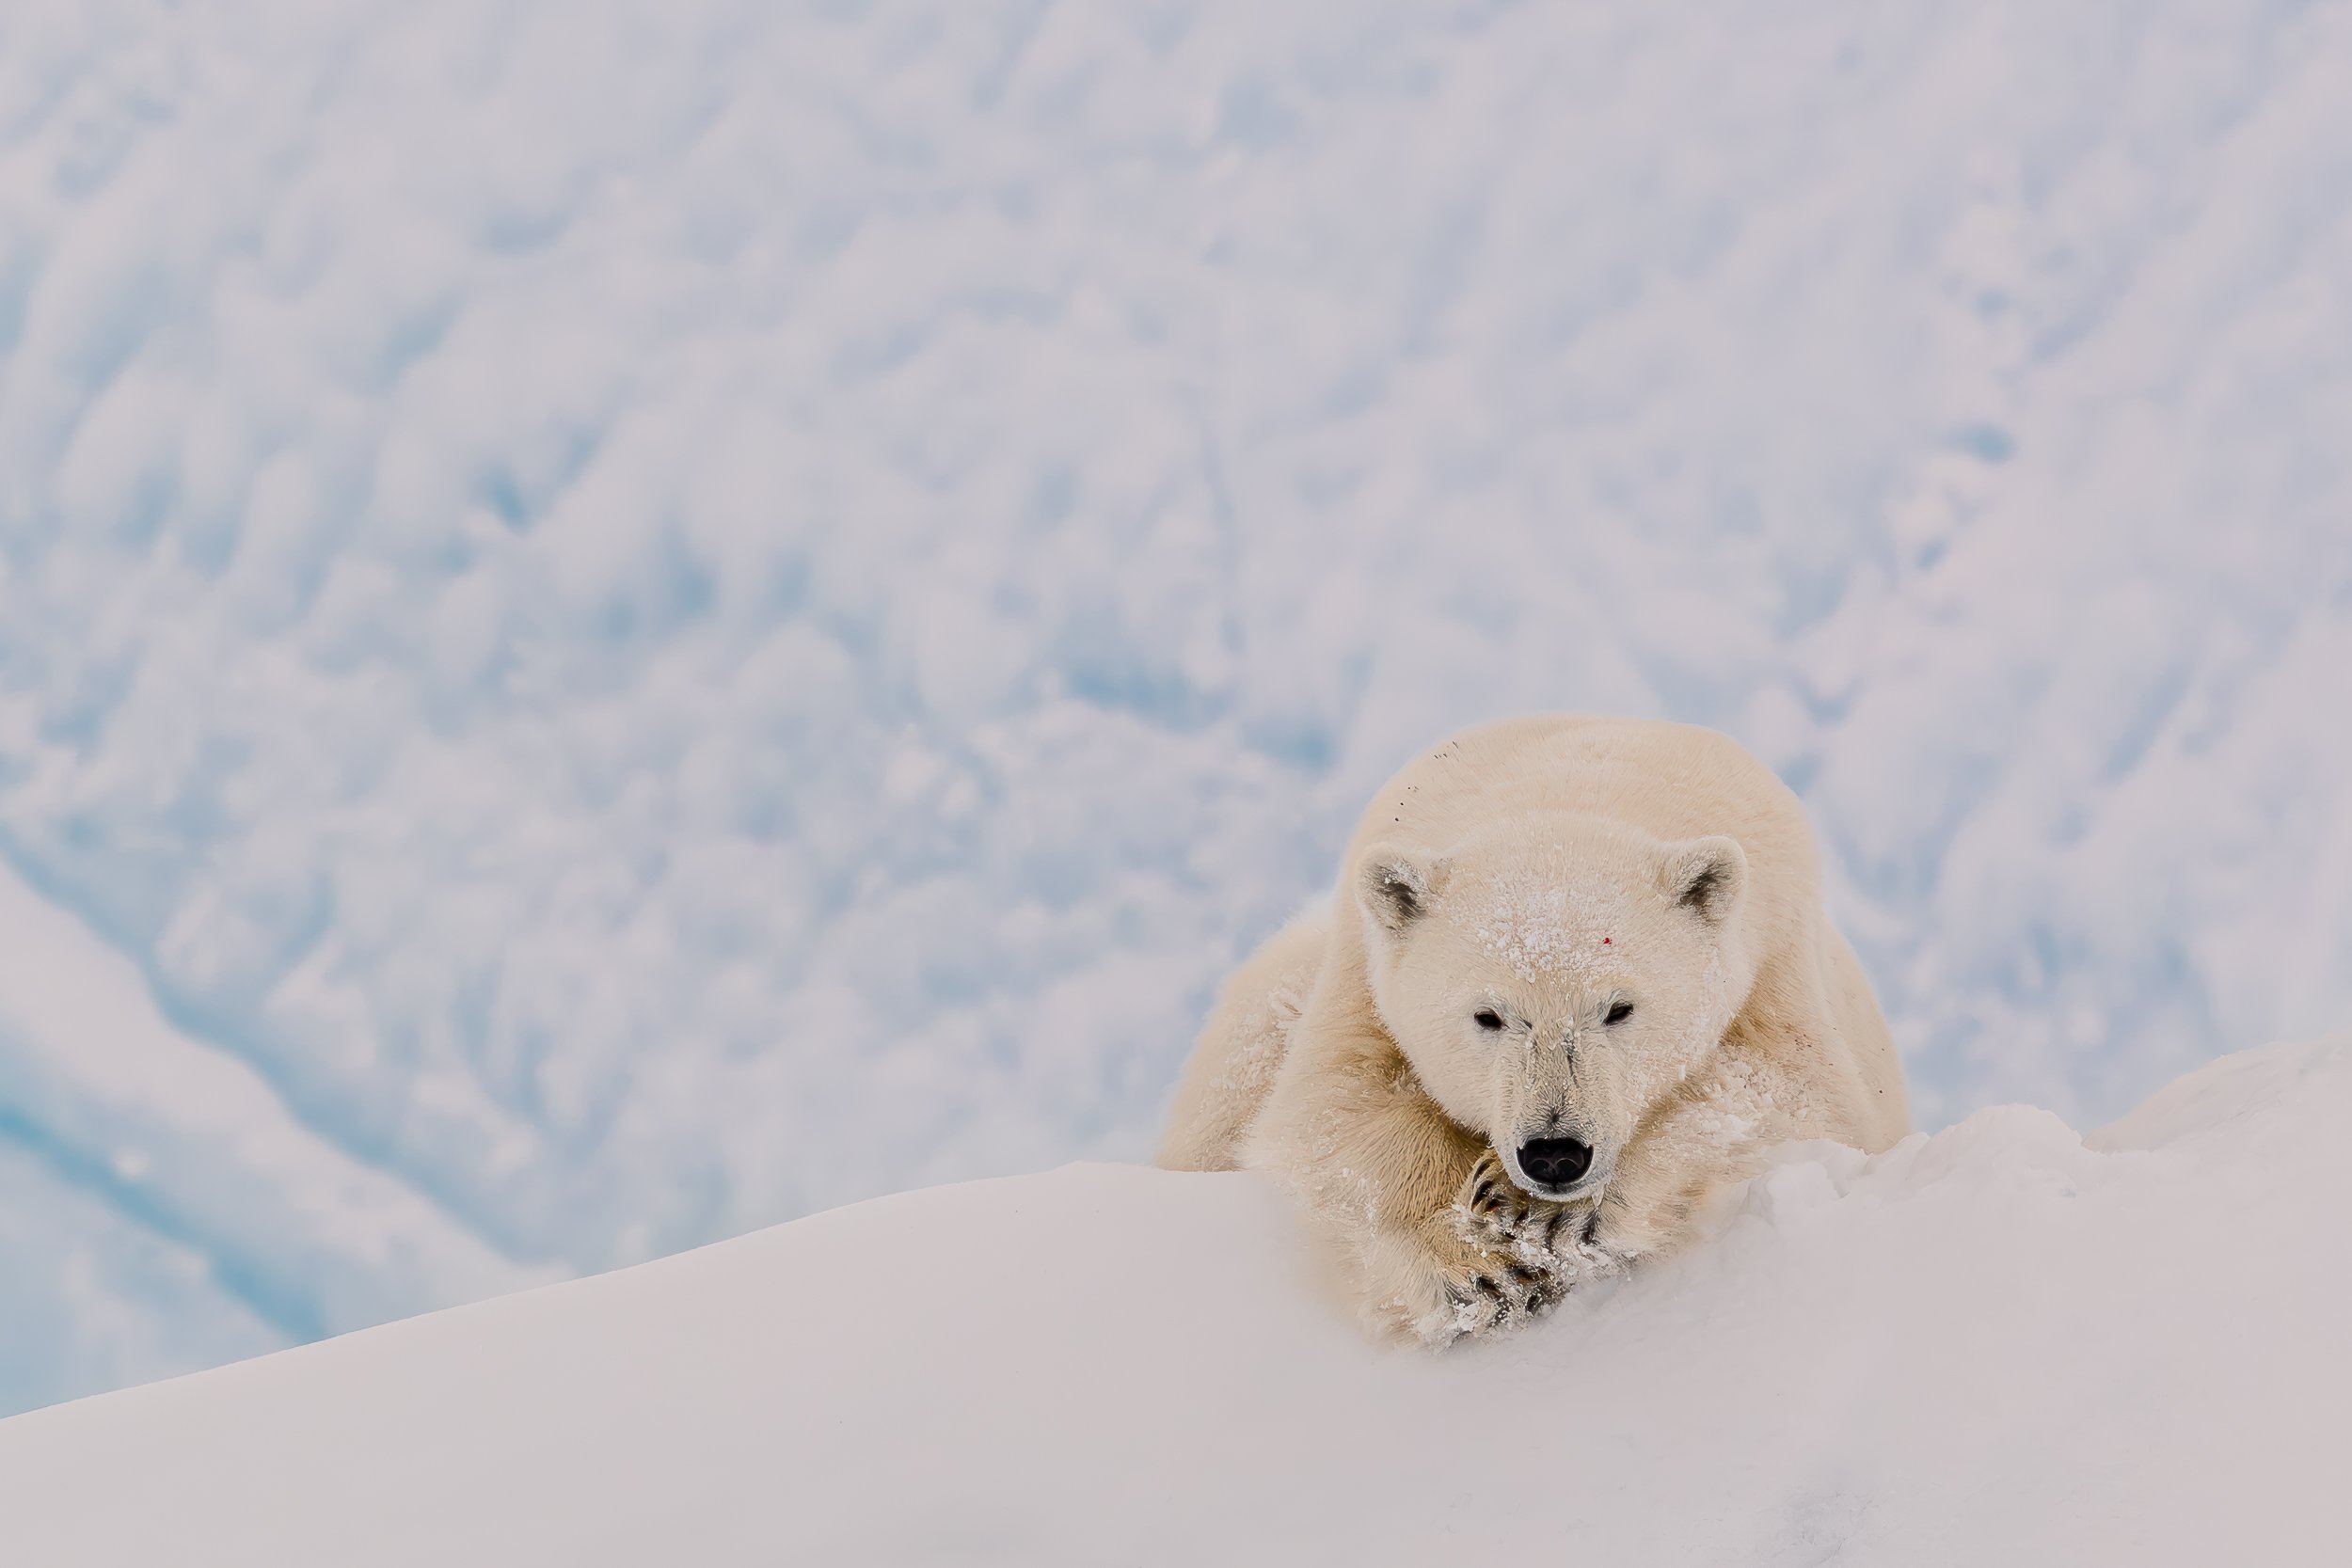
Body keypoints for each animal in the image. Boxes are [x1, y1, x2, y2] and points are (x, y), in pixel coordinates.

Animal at [1158, 714, 1909, 1345]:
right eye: (1489, 1015)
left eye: (1618, 1009)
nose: (1554, 1154)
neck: (1572, 793)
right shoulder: (1360, 967)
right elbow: (1336, 1105)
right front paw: (1478, 1270)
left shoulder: (1776, 952)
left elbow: (1793, 1091)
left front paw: (1541, 1212)